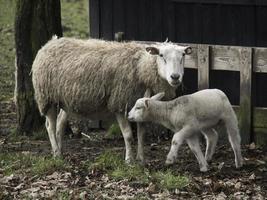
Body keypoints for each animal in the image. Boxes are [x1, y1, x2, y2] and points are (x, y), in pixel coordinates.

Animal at [31, 36, 193, 163]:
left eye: (183, 56)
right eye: (161, 55)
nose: (175, 77)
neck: (140, 68)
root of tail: (49, 43)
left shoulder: (141, 108)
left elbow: (141, 134)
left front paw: (141, 159)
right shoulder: (119, 103)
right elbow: (128, 135)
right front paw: (129, 160)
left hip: (66, 100)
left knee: (60, 123)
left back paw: (60, 150)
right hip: (46, 96)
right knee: (50, 125)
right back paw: (56, 153)